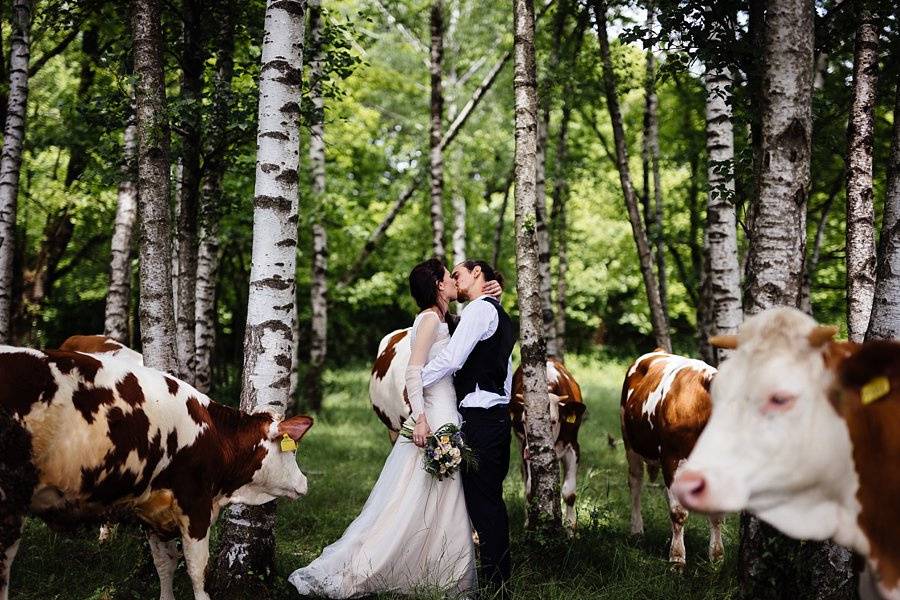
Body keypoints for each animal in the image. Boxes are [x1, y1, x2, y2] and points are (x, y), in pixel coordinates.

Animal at [0, 342, 312, 600]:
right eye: (293, 450)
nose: (304, 482)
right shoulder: (195, 505)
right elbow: (198, 571)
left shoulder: (153, 510)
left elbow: (164, 565)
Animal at [510, 358, 588, 528]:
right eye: (524, 421)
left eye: (553, 421)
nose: (530, 451)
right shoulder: (525, 449)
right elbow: (529, 490)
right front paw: (530, 524)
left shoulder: (573, 446)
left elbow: (569, 493)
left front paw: (570, 527)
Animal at [620, 350, 724, 564]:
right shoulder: (672, 459)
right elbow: (678, 513)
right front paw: (677, 558)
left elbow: (716, 512)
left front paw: (717, 556)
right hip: (630, 442)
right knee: (635, 483)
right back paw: (637, 530)